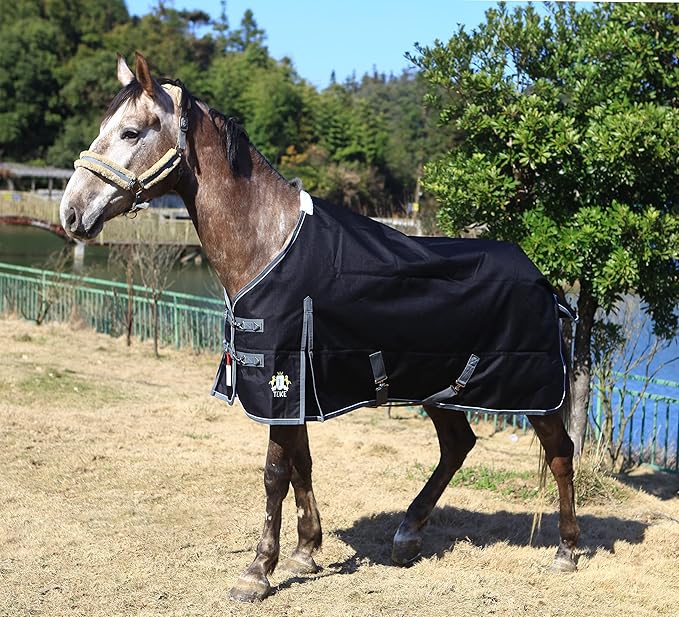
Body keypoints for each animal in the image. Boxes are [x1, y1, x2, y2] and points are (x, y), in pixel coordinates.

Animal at [59, 53, 579, 602]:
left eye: (131, 132)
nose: (71, 212)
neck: (268, 242)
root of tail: (544, 281)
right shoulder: (296, 386)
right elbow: (301, 463)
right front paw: (306, 550)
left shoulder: (280, 378)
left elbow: (274, 472)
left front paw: (257, 571)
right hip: (441, 388)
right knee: (457, 446)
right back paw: (407, 535)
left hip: (534, 393)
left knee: (559, 453)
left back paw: (566, 551)